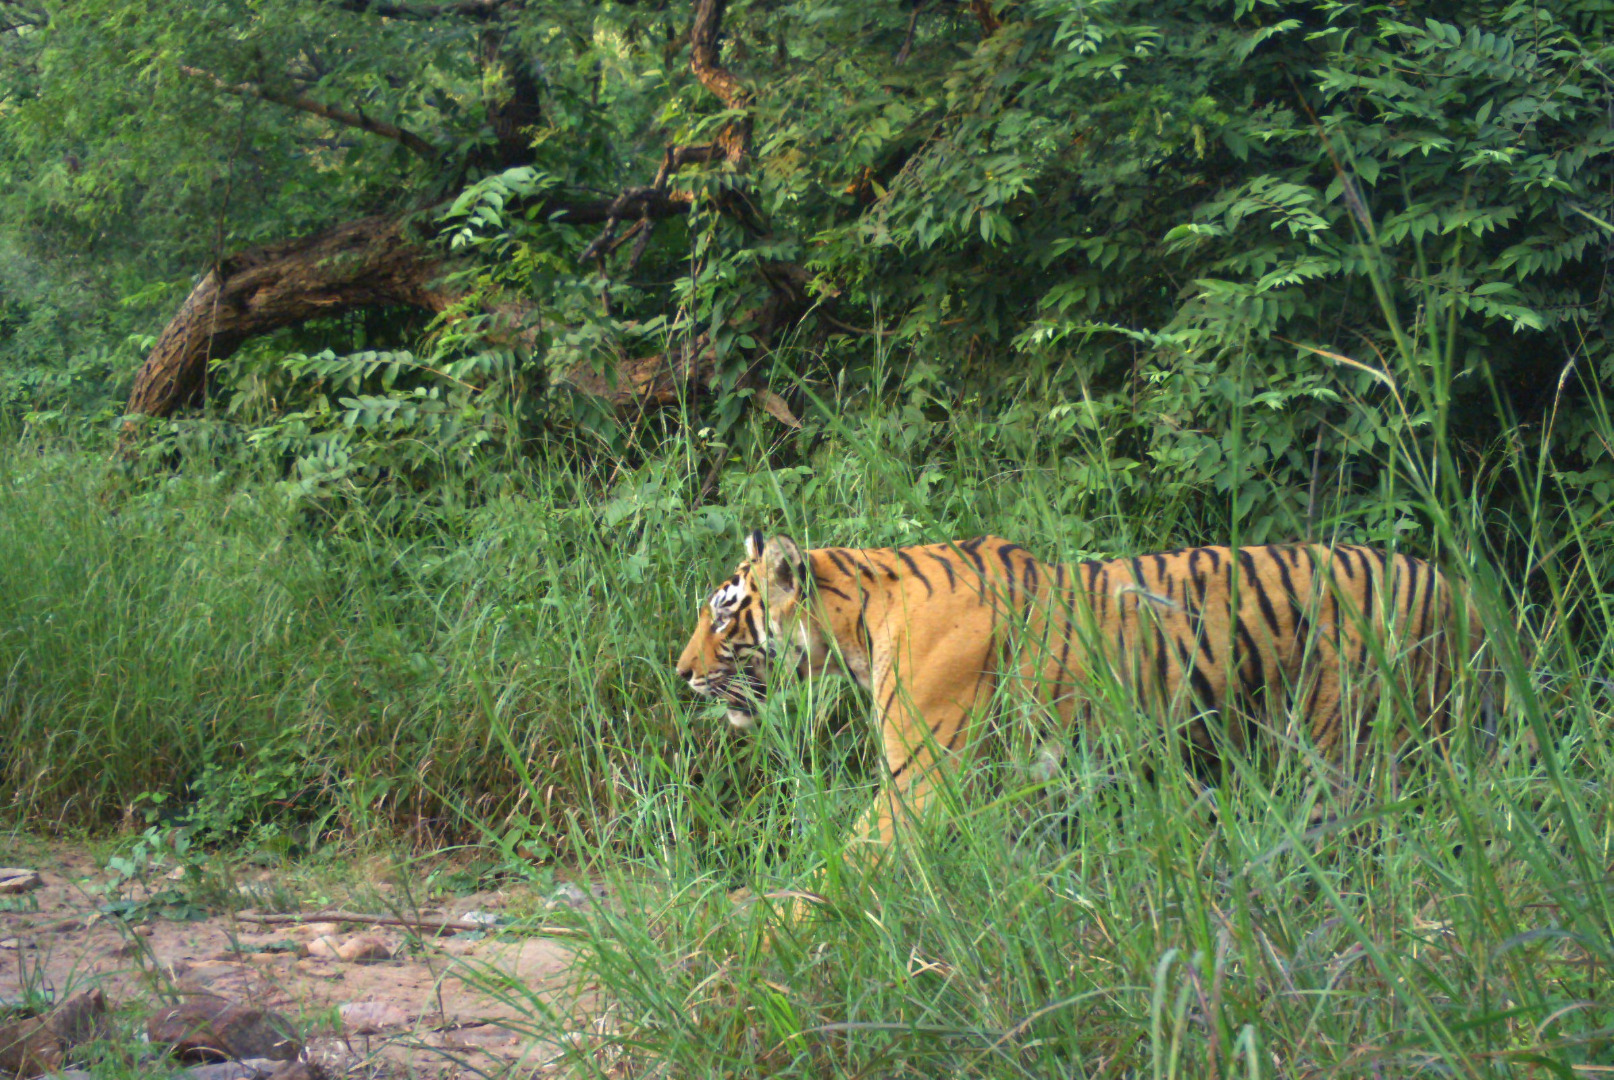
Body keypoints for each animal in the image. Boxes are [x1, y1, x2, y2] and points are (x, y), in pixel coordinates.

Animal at [676, 531, 1492, 862]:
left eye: (722, 612)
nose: (680, 672)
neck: (859, 619)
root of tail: (1458, 588)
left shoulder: (920, 784)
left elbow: (835, 872)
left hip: (1343, 750)